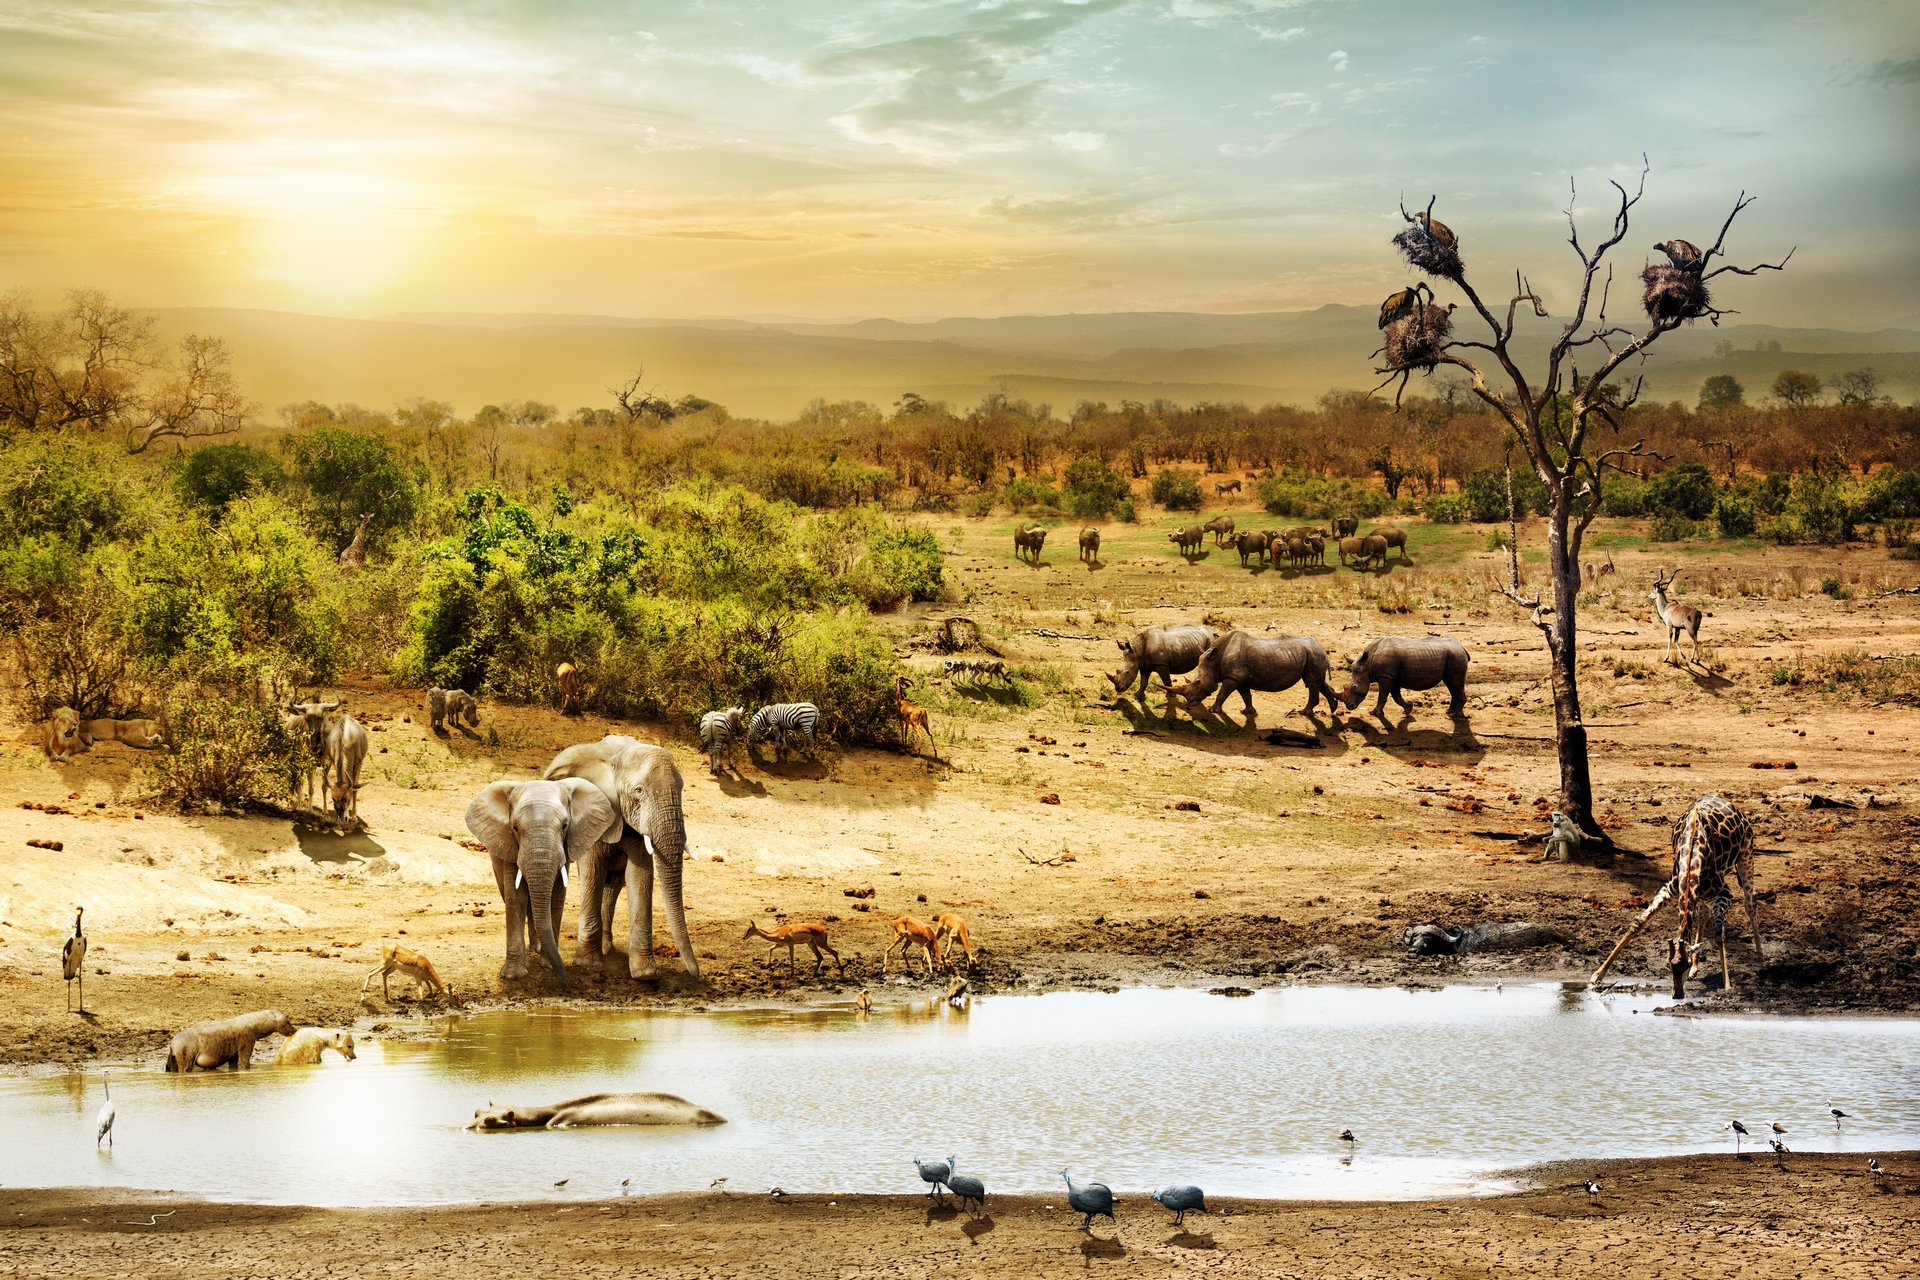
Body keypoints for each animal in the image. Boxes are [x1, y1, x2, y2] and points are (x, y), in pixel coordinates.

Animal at [465, 775, 621, 988]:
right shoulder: (511, 847)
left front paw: (547, 965)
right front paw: (512, 976)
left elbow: (556, 898)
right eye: (515, 828)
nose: (567, 985)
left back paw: (538, 948)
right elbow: (516, 899)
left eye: (564, 826)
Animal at [542, 735, 702, 982]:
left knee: (613, 885)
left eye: (682, 788)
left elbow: (641, 873)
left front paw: (646, 974)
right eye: (639, 791)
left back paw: (607, 948)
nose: (696, 974)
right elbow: (593, 869)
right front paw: (589, 963)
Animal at [1591, 793, 1761, 998]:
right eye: (1668, 966)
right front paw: (1597, 975)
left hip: (1746, 856)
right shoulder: (1671, 888)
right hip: (1702, 893)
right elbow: (1638, 922)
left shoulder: (1724, 894)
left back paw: (1761, 958)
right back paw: (1697, 968)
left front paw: (1727, 985)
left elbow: (1718, 933)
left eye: (1684, 965)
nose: (1677, 994)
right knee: (1703, 913)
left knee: (1750, 904)